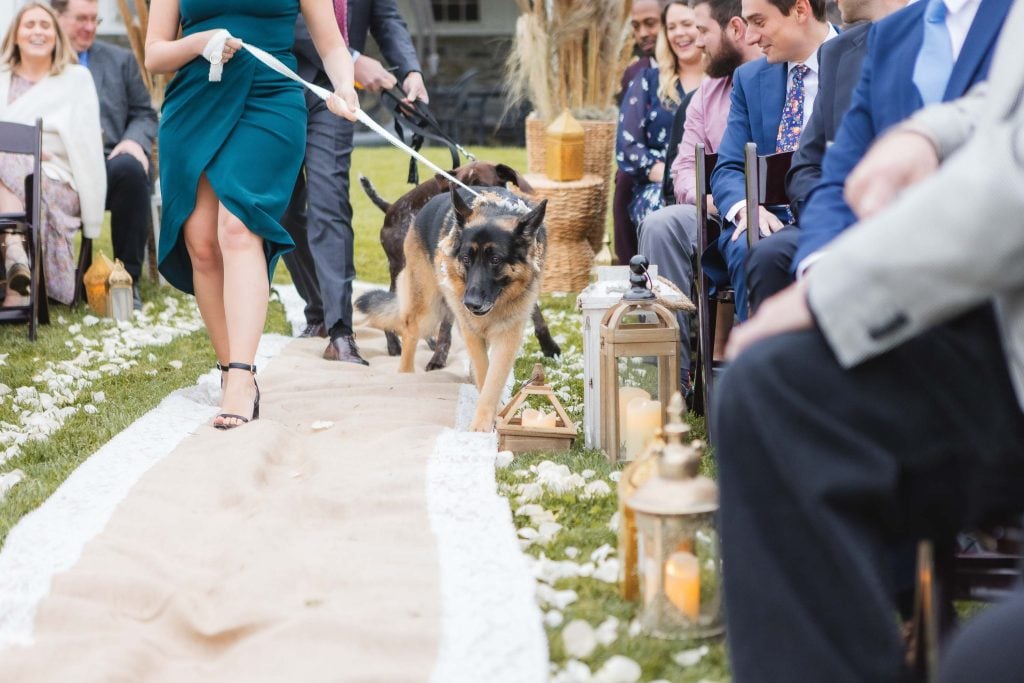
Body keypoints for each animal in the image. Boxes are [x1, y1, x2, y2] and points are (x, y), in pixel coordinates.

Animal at [356, 160, 557, 366]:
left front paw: (549, 347)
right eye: (455, 187)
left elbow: (536, 314)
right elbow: (447, 326)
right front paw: (438, 359)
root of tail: (390, 209)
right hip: (409, 271)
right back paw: (395, 344)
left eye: (480, 183)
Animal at [356, 187, 548, 432]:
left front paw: (489, 418)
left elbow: (492, 380)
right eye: (466, 258)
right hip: (428, 310)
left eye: (495, 260)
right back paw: (406, 375)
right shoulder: (471, 331)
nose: (471, 304)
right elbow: (484, 372)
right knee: (409, 332)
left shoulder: (507, 336)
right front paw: (482, 425)